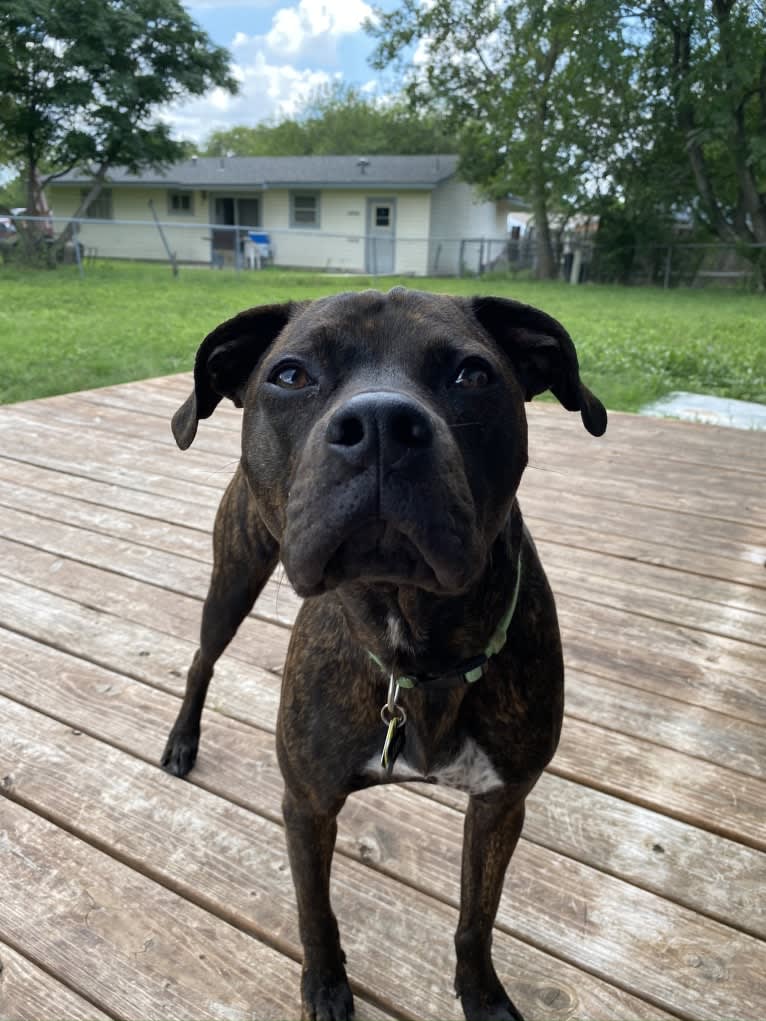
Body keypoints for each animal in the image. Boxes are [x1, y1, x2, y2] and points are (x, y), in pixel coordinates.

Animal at [160, 287, 604, 1021]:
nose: (380, 422)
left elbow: (476, 918)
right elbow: (315, 911)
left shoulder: (500, 804)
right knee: (202, 660)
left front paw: (482, 996)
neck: (415, 647)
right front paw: (325, 987)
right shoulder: (307, 802)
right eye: (291, 375)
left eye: (472, 374)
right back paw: (181, 741)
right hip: (233, 579)